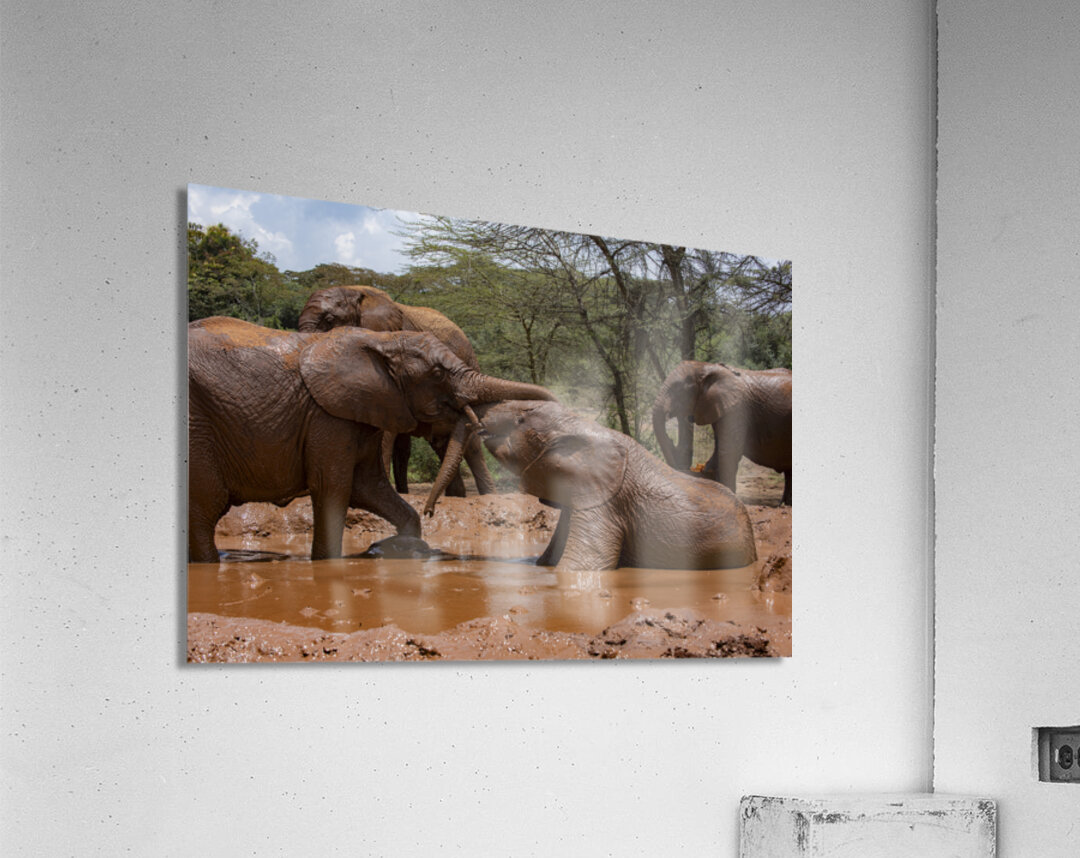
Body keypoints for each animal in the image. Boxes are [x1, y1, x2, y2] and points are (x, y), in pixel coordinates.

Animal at [188, 317, 555, 563]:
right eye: (437, 374)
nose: (432, 510)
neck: (382, 341)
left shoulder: (362, 413)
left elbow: (368, 486)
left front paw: (402, 545)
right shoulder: (327, 416)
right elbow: (333, 489)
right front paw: (327, 565)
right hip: (198, 426)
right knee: (204, 509)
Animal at [652, 361, 792, 505]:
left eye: (678, 389)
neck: (707, 367)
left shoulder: (736, 410)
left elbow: (728, 451)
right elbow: (717, 452)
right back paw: (785, 504)